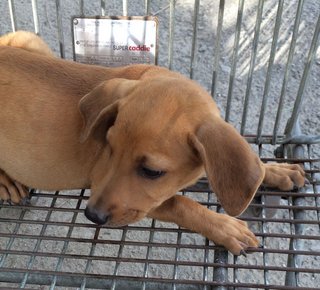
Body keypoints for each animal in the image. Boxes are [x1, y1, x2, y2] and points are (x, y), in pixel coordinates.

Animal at [0, 30, 304, 255]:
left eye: (152, 172)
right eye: (109, 149)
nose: (92, 216)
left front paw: (275, 170)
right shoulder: (124, 193)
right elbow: (181, 203)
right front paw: (223, 226)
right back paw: (7, 182)